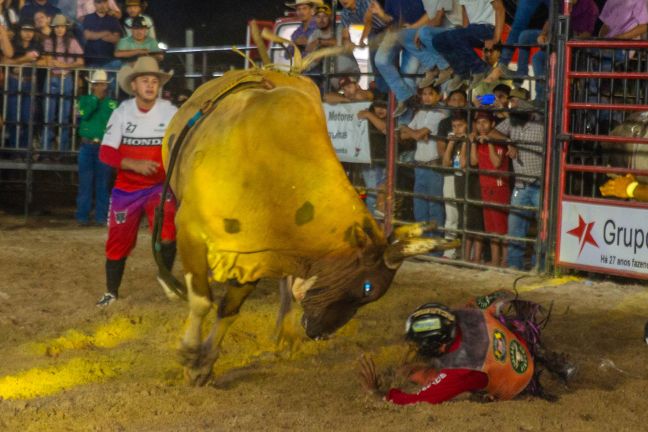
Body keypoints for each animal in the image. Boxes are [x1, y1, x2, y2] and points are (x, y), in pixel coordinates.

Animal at [154, 43, 458, 384]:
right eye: (366, 288)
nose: (321, 334)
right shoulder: (193, 230)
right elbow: (202, 300)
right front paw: (191, 353)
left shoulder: (257, 253)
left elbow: (229, 308)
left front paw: (204, 363)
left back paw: (284, 335)